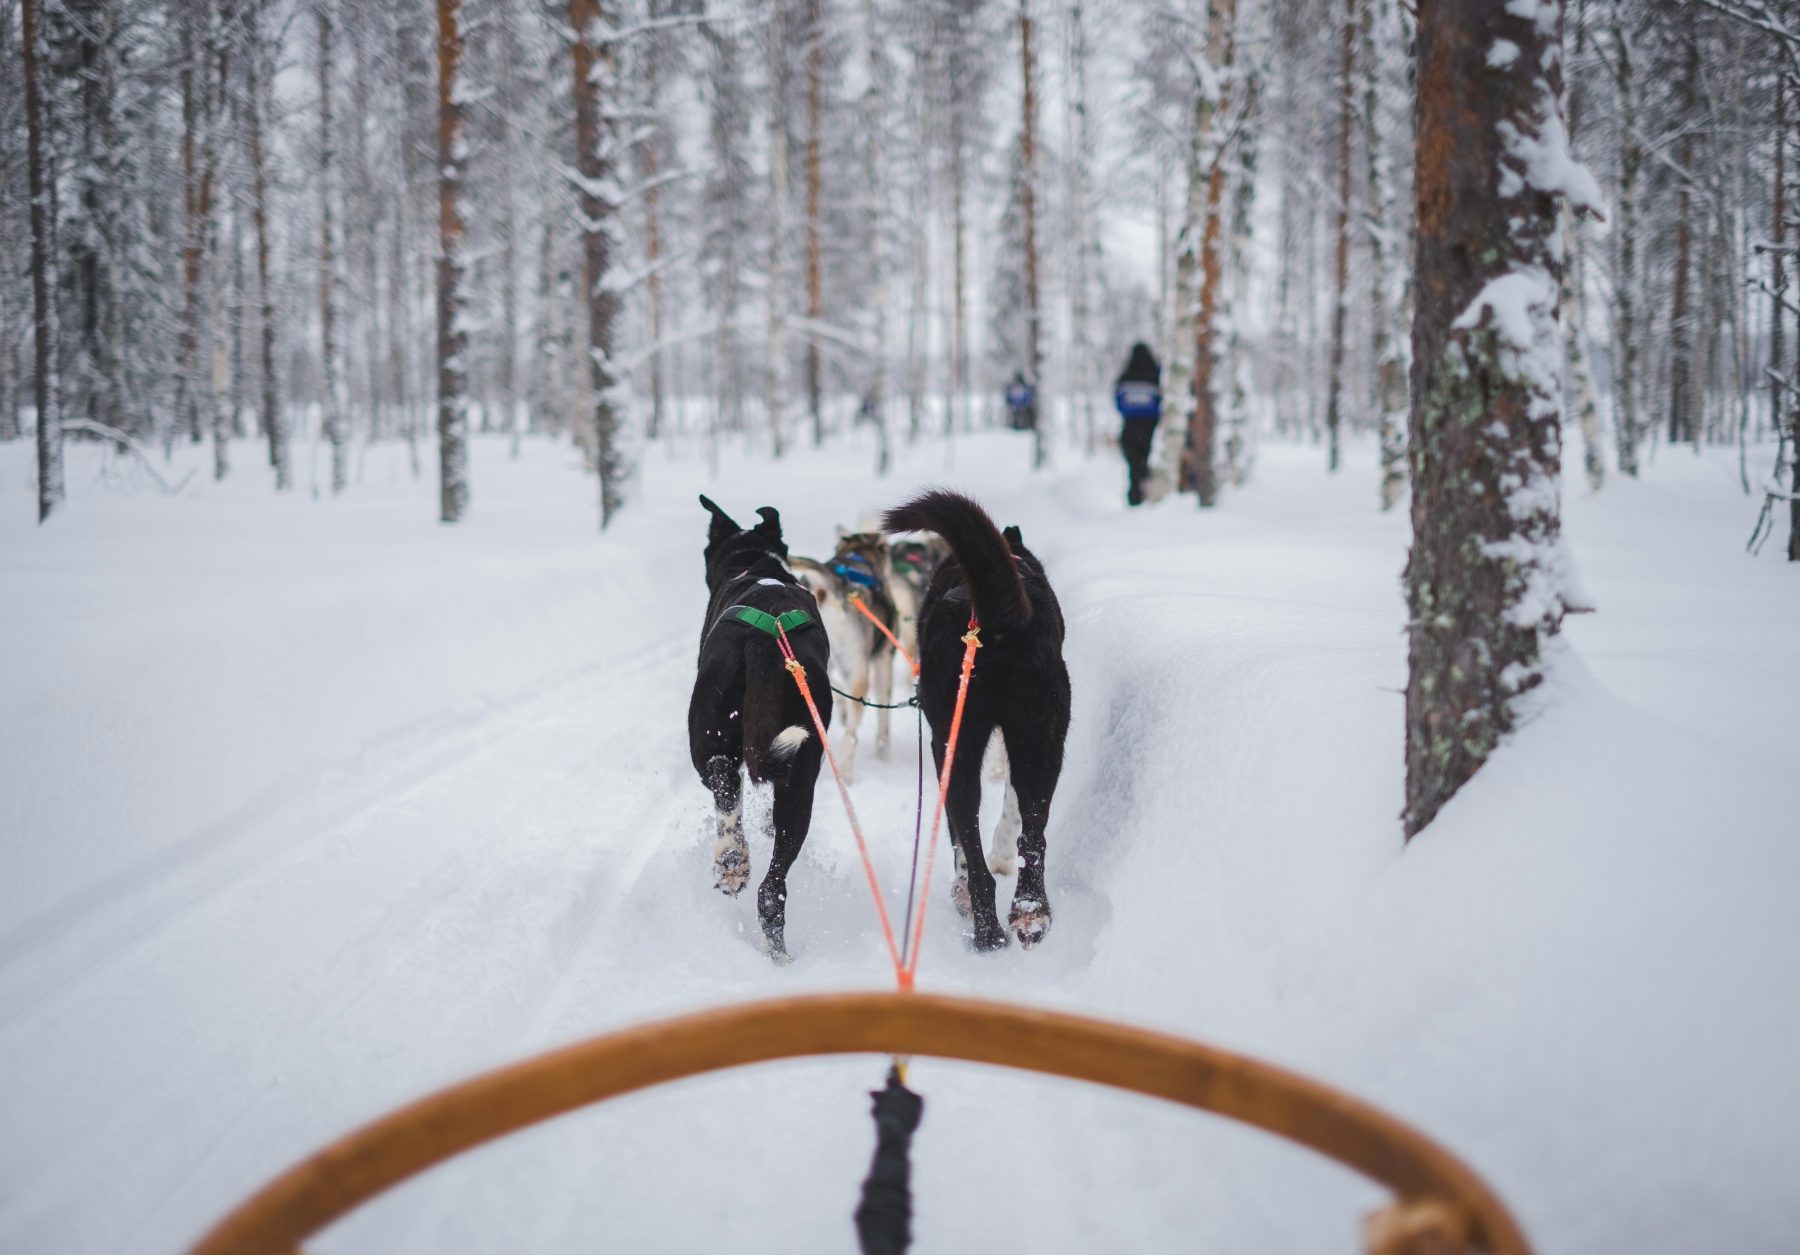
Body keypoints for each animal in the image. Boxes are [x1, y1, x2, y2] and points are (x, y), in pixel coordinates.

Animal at [687, 493, 828, 957]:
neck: (755, 564)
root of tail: (766, 641)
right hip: (800, 773)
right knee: (773, 888)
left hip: (711, 737)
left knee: (723, 782)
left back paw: (732, 861)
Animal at [885, 489, 1065, 950]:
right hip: (1040, 742)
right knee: (1033, 838)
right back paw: (1026, 915)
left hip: (955, 748)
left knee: (972, 848)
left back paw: (985, 928)